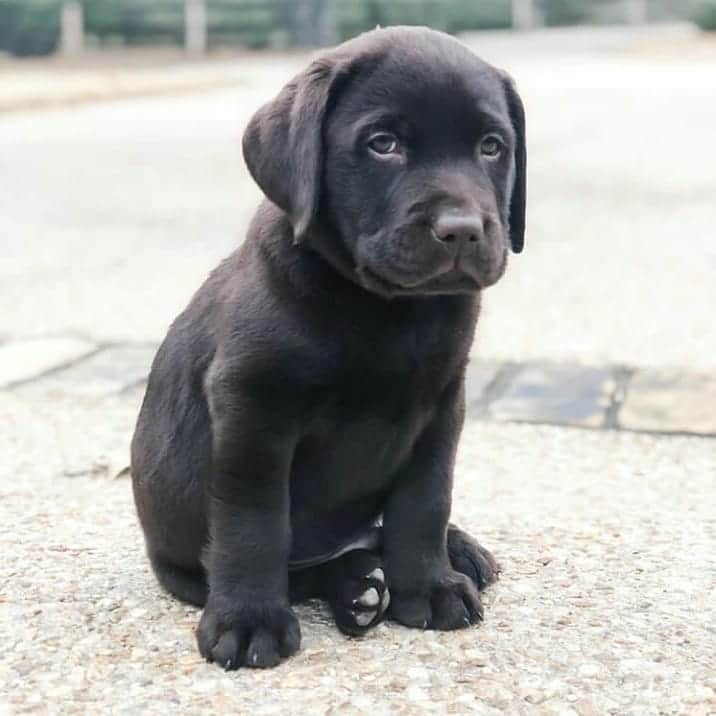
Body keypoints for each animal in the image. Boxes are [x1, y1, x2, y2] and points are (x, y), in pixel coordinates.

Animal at [131, 23, 524, 672]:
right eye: (384, 144)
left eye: (492, 146)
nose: (463, 230)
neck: (386, 310)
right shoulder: (253, 406)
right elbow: (254, 520)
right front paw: (248, 621)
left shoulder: (442, 402)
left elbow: (425, 500)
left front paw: (430, 586)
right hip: (182, 559)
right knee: (305, 567)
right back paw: (360, 586)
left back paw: (448, 554)